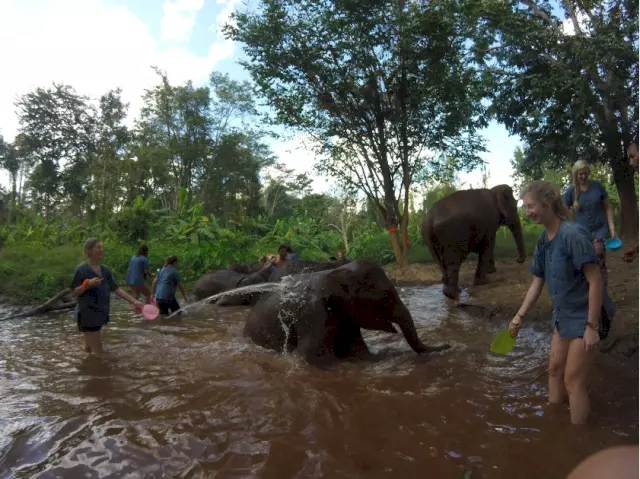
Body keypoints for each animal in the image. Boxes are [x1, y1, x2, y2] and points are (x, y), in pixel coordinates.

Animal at [222, 258, 452, 368]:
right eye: (385, 301)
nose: (449, 345)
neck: (334, 273)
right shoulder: (313, 316)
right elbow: (313, 358)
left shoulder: (347, 317)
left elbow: (358, 352)